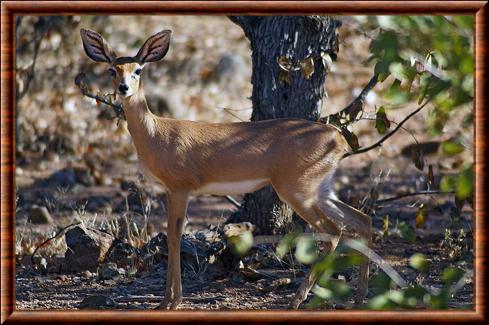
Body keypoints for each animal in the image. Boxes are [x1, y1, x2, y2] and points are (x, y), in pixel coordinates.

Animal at [81, 28, 370, 308]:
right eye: (112, 69)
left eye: (138, 69)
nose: (123, 88)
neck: (156, 134)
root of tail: (338, 138)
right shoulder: (169, 191)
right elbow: (172, 236)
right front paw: (166, 300)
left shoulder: (181, 189)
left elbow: (174, 237)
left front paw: (170, 302)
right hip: (321, 190)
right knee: (361, 221)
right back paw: (358, 297)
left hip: (297, 191)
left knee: (334, 231)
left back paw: (296, 301)